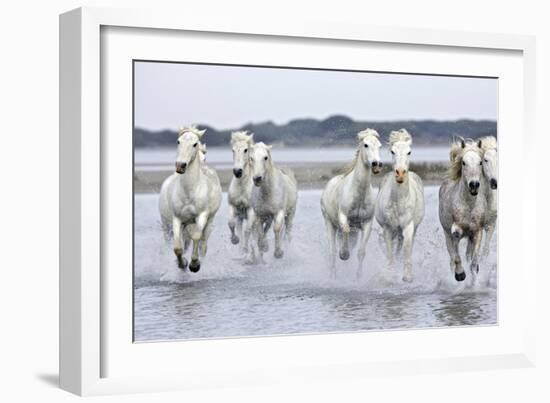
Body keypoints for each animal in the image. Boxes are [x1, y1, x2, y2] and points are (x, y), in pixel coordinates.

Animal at [160, 126, 222, 272]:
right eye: (178, 141)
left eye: (195, 144)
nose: (180, 165)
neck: (189, 192)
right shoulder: (177, 219)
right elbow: (177, 248)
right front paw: (182, 264)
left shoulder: (202, 216)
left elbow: (197, 237)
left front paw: (194, 265)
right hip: (167, 225)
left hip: (208, 221)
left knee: (203, 243)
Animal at [320, 129, 384, 278]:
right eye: (365, 145)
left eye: (379, 146)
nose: (376, 164)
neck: (359, 194)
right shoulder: (343, 217)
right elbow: (345, 230)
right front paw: (344, 254)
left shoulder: (366, 223)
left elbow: (361, 252)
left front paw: (358, 278)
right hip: (330, 223)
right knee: (332, 251)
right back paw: (333, 276)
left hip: (354, 232)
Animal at [376, 131, 426, 282]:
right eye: (392, 151)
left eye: (409, 152)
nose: (400, 173)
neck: (399, 202)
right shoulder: (388, 228)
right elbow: (389, 253)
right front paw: (390, 274)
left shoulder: (408, 226)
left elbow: (407, 249)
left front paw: (407, 277)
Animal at [442, 139, 490, 280]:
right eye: (463, 162)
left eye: (480, 162)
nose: (474, 185)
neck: (469, 205)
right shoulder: (455, 230)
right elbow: (456, 255)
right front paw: (460, 275)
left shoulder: (476, 231)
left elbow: (474, 260)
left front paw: (474, 277)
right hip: (446, 233)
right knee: (452, 254)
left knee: (468, 254)